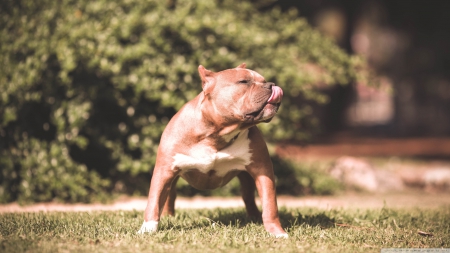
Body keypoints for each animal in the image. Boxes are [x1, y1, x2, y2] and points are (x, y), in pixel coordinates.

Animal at [136, 63, 288, 237]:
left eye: (264, 80)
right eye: (244, 82)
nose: (271, 85)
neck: (216, 134)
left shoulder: (262, 170)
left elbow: (270, 205)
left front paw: (277, 232)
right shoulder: (164, 171)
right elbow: (154, 202)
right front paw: (147, 229)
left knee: (248, 197)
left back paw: (255, 217)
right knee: (169, 197)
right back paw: (169, 217)